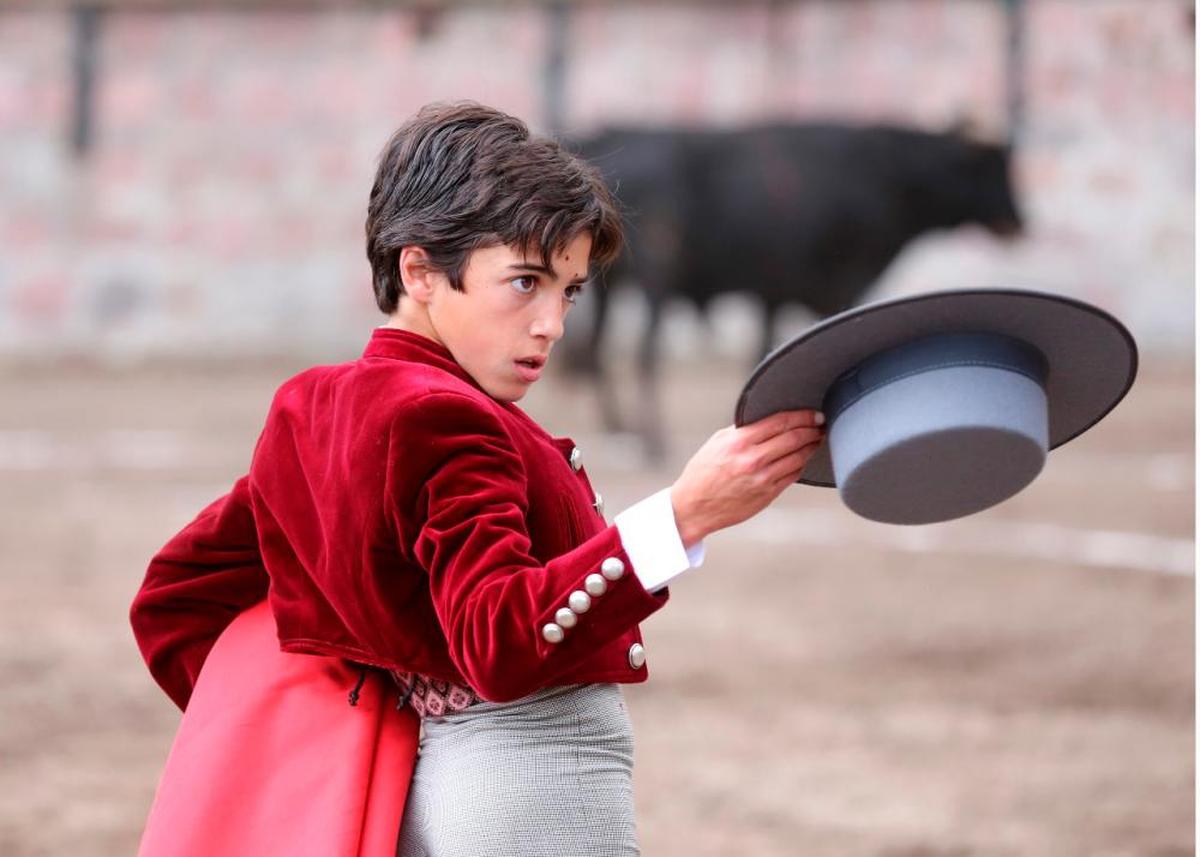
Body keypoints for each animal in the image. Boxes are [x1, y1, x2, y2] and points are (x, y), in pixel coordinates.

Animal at [561, 123, 1022, 458]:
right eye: (991, 169)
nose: (1020, 222)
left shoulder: (777, 289)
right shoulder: (816, 281)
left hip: (607, 282)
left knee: (598, 348)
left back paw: (619, 426)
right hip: (657, 274)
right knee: (644, 354)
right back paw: (652, 439)